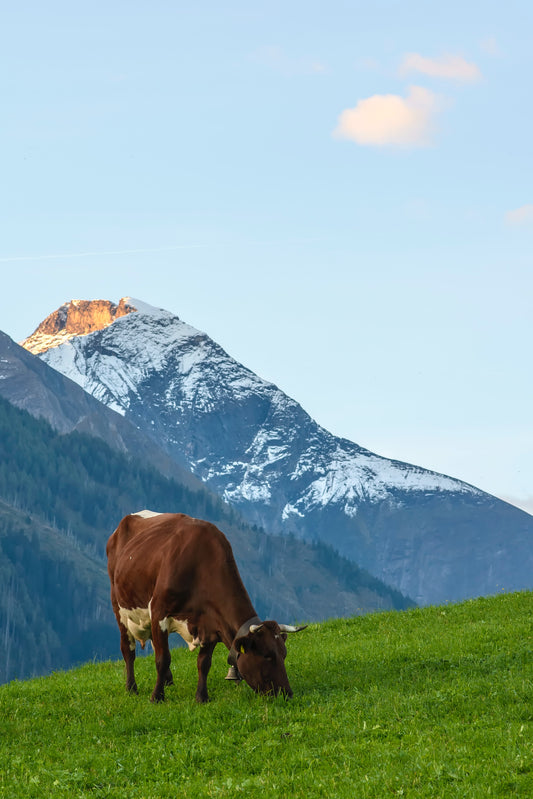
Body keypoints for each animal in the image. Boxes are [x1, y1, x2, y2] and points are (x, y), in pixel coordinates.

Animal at [106, 510, 306, 704]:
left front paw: (201, 697)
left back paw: (168, 681)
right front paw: (157, 697)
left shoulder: (211, 622)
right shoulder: (159, 612)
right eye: (267, 655)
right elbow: (163, 659)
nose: (287, 694)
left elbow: (204, 662)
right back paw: (131, 688)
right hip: (119, 608)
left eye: (284, 654)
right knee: (128, 650)